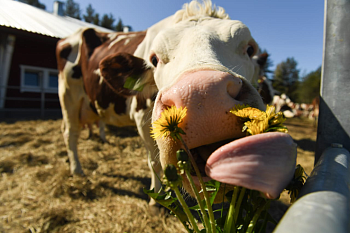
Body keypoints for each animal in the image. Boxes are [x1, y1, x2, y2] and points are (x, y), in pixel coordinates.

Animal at [56, 0, 296, 209]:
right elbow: (155, 163)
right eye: (154, 59)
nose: (203, 95)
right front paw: (156, 202)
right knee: (70, 133)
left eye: (249, 49)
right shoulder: (142, 118)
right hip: (68, 96)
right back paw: (77, 169)